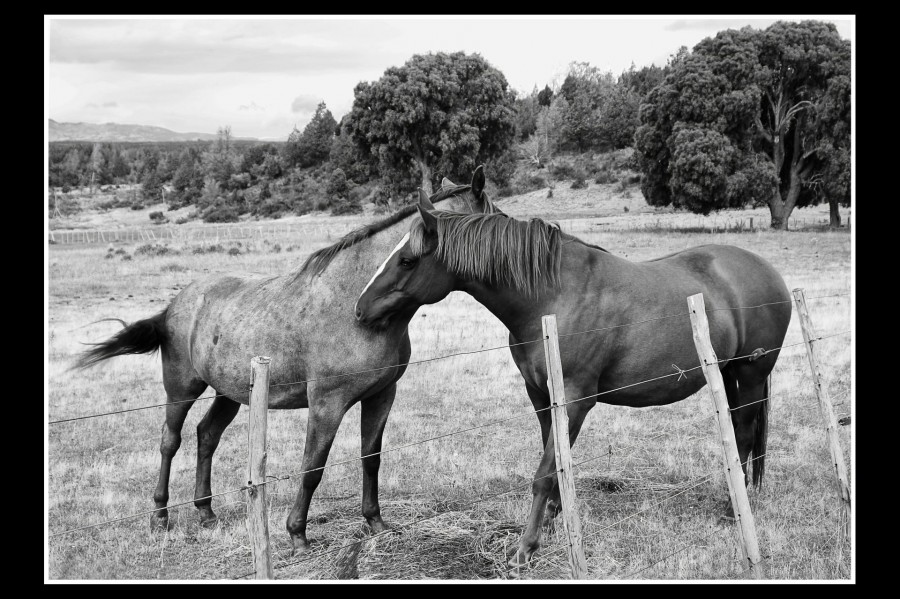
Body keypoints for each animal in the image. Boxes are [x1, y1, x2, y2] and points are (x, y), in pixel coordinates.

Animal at [73, 166, 500, 556]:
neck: (354, 304)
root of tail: (176, 303)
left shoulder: (382, 395)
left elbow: (371, 458)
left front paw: (375, 523)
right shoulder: (327, 403)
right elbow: (313, 466)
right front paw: (297, 534)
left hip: (229, 393)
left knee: (206, 435)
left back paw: (206, 512)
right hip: (182, 387)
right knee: (169, 441)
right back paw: (160, 516)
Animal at [356, 188, 792, 568]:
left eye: (407, 260)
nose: (360, 310)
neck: (554, 297)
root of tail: (769, 272)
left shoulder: (576, 400)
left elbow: (545, 472)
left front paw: (525, 548)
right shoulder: (540, 395)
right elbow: (555, 461)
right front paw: (552, 519)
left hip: (752, 374)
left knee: (744, 434)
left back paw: (735, 507)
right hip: (729, 373)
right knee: (737, 434)